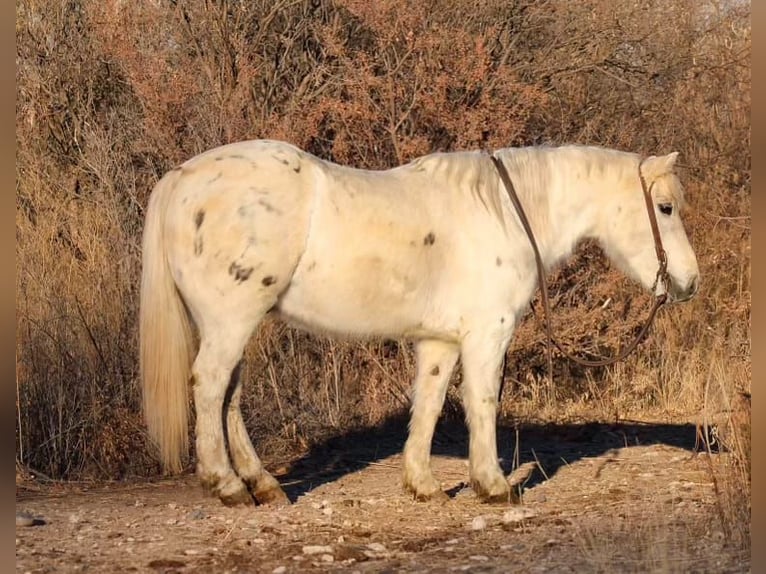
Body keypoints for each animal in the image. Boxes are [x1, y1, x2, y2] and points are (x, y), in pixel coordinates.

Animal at [139, 140, 699, 506]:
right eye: (666, 207)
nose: (689, 282)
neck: (504, 215)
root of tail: (181, 176)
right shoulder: (488, 334)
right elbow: (482, 403)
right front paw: (493, 485)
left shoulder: (439, 342)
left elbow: (427, 405)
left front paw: (423, 485)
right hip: (231, 320)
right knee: (211, 385)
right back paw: (228, 485)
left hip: (235, 324)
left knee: (229, 395)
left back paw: (263, 485)